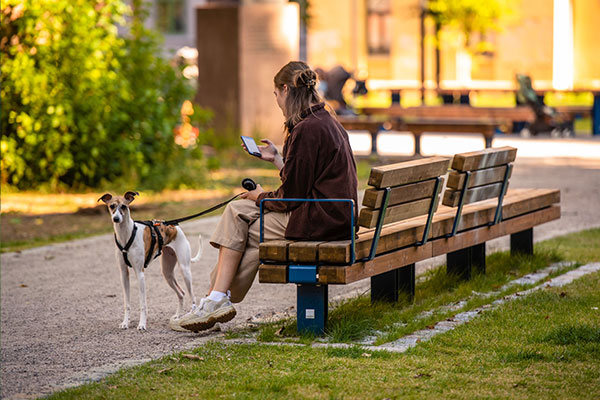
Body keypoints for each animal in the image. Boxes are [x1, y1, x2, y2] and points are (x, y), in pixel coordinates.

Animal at [99, 191, 202, 332]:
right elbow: (127, 303)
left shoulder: (140, 273)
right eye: (112, 206)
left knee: (192, 297)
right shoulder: (124, 274)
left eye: (124, 206)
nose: (116, 219)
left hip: (185, 270)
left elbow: (143, 304)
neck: (126, 235)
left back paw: (191, 316)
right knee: (181, 293)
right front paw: (125, 323)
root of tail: (173, 226)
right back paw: (177, 316)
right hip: (167, 273)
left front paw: (142, 324)